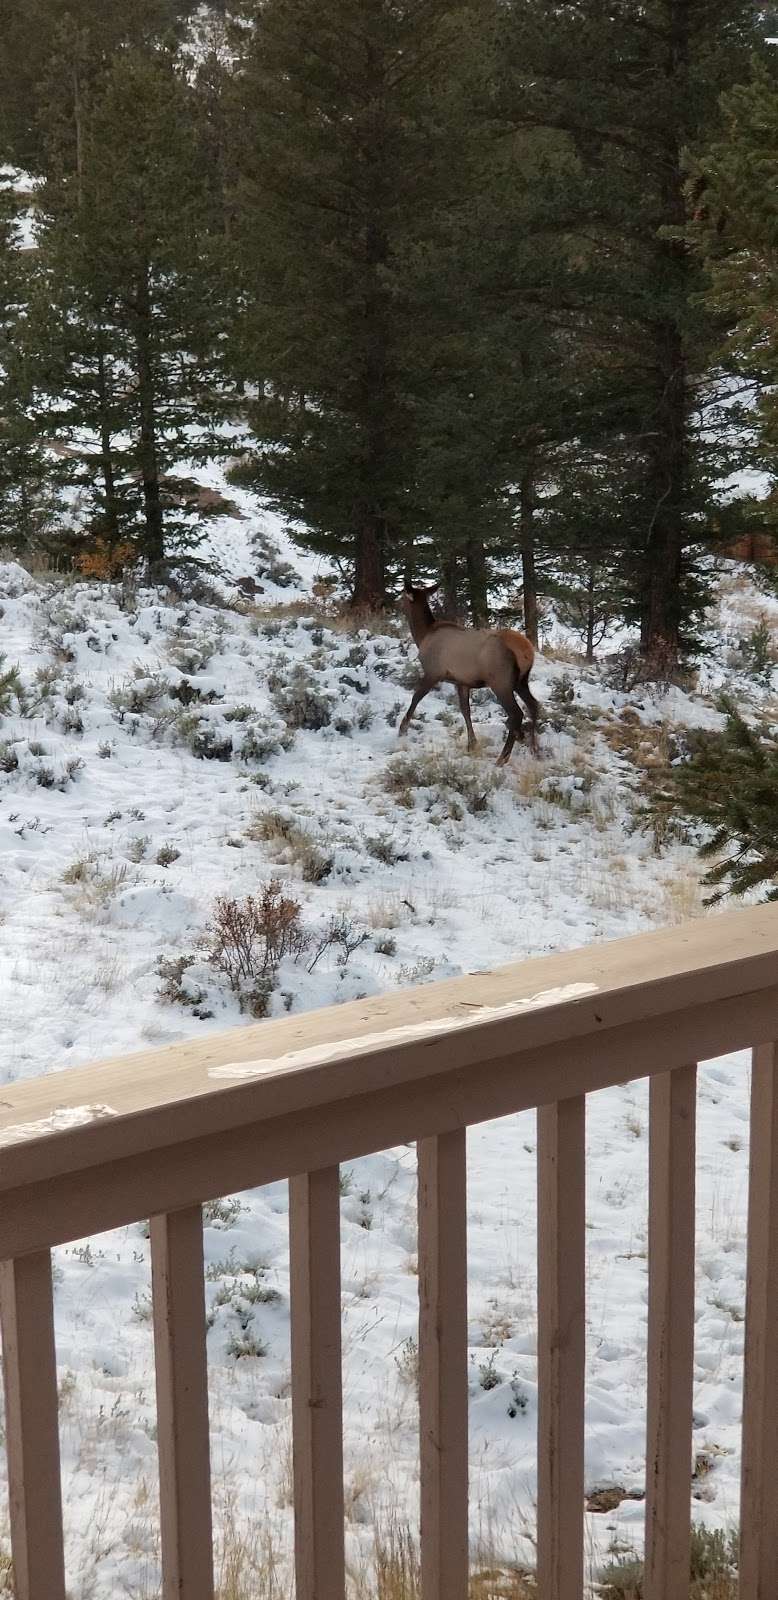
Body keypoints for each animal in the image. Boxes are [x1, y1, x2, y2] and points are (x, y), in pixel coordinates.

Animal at [398, 585, 537, 764]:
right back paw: (534, 749)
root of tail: (527, 651)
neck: (423, 636)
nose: (394, 604)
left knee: (516, 713)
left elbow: (416, 697)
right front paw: (472, 744)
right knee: (534, 705)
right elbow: (465, 710)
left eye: (402, 596)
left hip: (500, 681)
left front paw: (402, 728)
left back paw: (503, 757)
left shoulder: (433, 672)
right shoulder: (461, 682)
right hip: (521, 681)